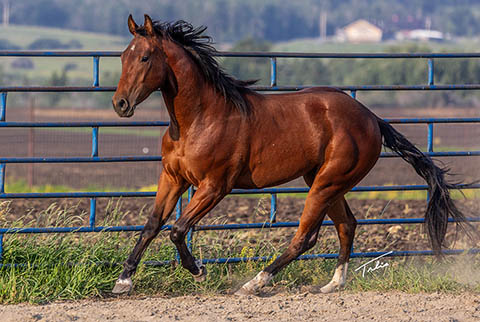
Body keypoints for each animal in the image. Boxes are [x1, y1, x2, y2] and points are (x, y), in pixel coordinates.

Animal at [110, 15, 474, 296]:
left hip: (326, 184)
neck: (200, 118)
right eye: (123, 57)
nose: (120, 104)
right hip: (325, 183)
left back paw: (255, 283)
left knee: (306, 237)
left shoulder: (215, 186)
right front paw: (123, 282)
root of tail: (372, 118)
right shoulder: (173, 178)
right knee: (347, 225)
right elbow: (152, 225)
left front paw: (198, 270)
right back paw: (333, 284)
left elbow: (177, 229)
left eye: (145, 58)